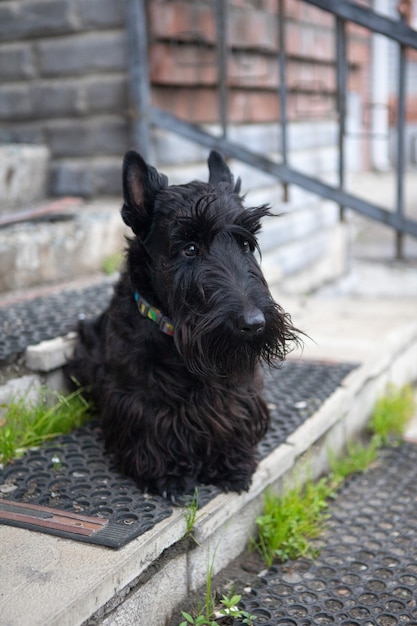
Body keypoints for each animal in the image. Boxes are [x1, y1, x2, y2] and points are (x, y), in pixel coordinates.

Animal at [66, 151, 298, 498]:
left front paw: (232, 464)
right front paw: (168, 474)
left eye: (246, 244)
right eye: (190, 249)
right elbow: (152, 427)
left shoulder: (236, 388)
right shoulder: (139, 397)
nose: (254, 324)